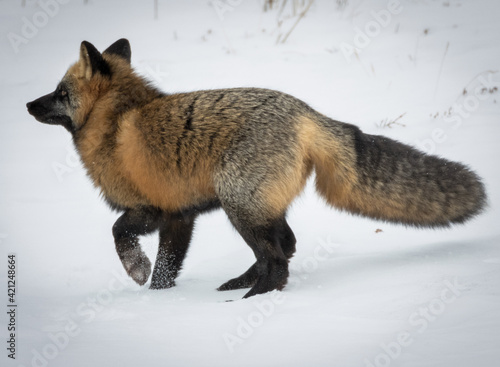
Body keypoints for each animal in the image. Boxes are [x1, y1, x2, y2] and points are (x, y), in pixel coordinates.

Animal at [27, 39, 488, 300]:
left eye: (59, 92)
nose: (28, 104)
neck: (116, 120)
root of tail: (307, 112)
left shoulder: (152, 209)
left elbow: (119, 233)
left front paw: (135, 271)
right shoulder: (180, 215)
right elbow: (166, 270)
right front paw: (159, 303)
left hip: (238, 203)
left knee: (278, 259)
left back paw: (255, 298)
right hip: (255, 206)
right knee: (286, 246)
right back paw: (241, 284)